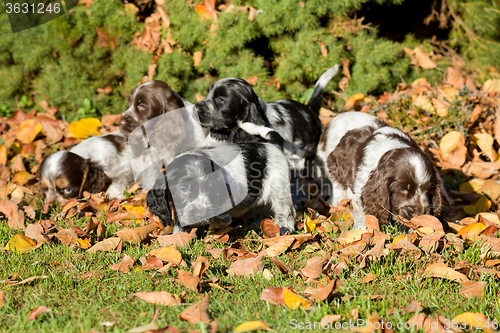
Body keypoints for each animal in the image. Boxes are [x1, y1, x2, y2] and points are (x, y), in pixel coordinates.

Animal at [146, 142, 296, 233]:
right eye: (183, 189)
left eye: (211, 187)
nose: (202, 214)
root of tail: (269, 145)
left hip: (279, 186)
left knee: (285, 209)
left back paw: (284, 226)